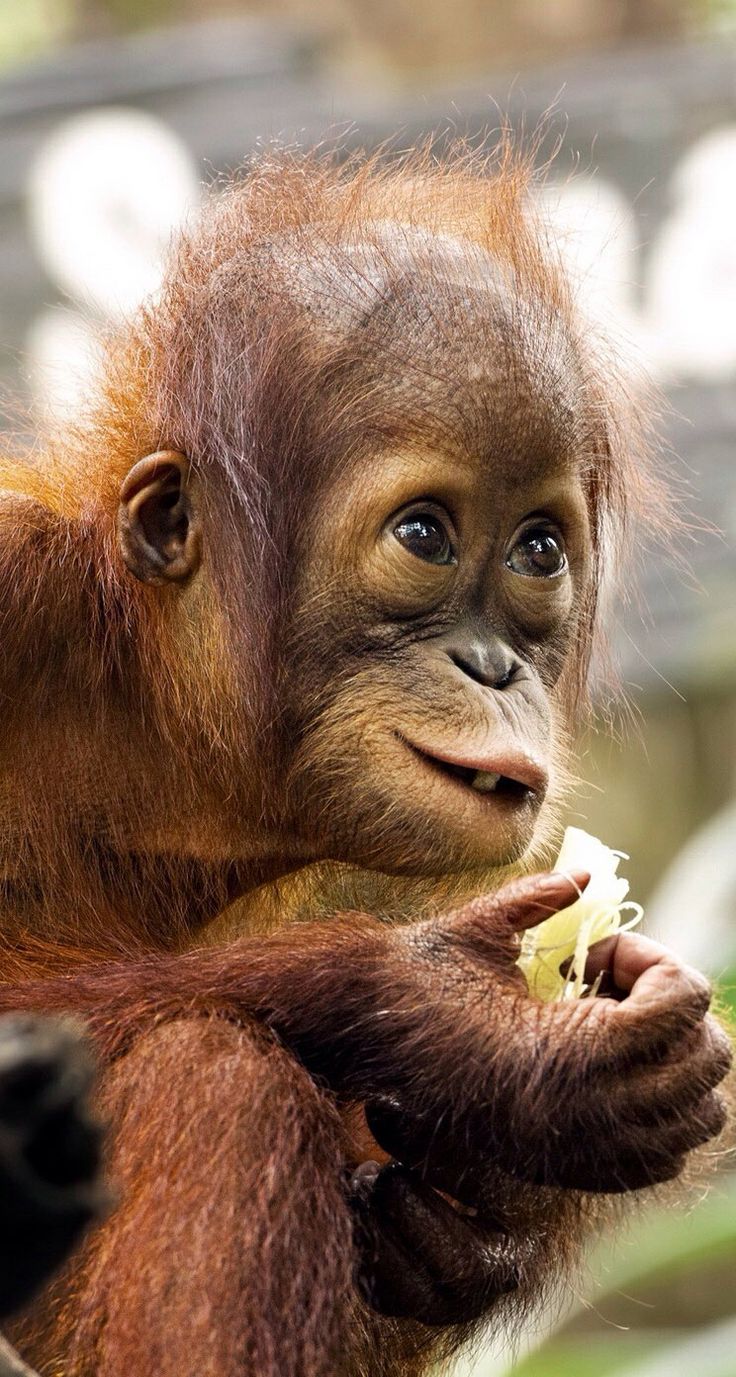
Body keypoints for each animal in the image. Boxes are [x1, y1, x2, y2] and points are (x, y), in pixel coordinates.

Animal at [0, 144, 730, 1377]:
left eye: (538, 549)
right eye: (425, 534)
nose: (492, 665)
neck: (179, 726)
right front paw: (470, 1030)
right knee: (215, 1077)